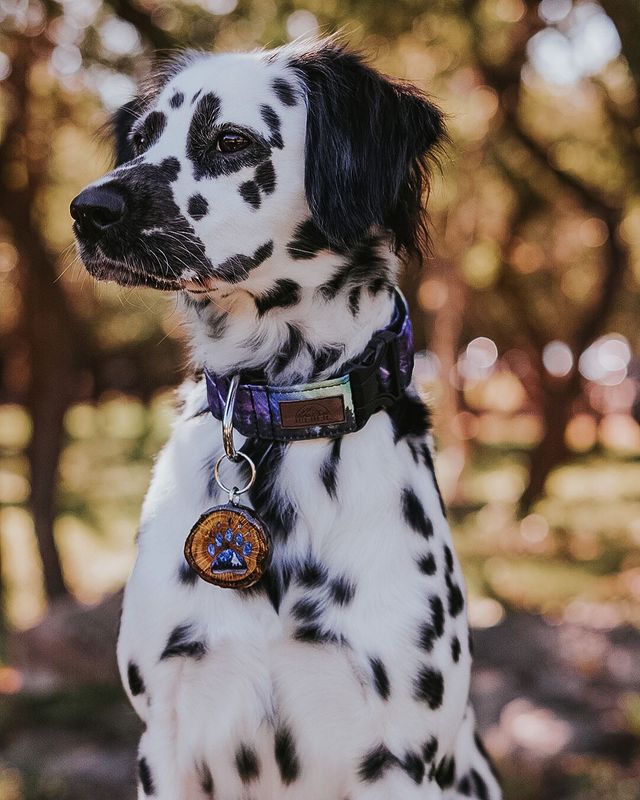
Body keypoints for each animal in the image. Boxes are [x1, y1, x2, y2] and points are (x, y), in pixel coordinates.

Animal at [70, 37, 500, 800]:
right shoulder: (166, 736)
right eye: (142, 140)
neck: (277, 414)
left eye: (231, 141)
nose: (88, 210)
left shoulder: (400, 754)